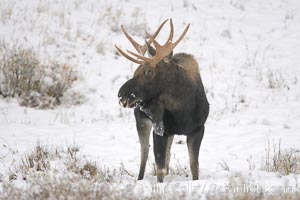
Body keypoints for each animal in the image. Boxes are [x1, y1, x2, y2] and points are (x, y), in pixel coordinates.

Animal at [115, 19, 209, 183]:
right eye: (135, 71)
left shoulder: (198, 129)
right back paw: (140, 178)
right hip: (143, 121)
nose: (122, 95)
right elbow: (160, 168)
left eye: (149, 72)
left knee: (167, 154)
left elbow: (194, 166)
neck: (183, 110)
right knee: (144, 151)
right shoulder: (160, 130)